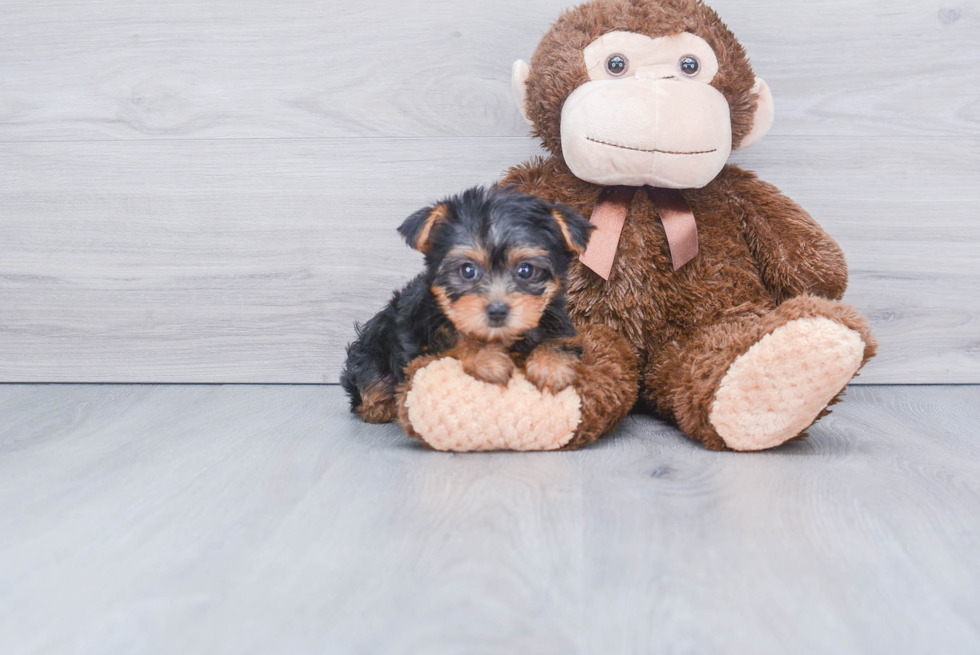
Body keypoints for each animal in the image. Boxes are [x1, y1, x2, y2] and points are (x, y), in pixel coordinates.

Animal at [340, 186, 592, 426]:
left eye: (526, 270)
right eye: (468, 270)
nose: (497, 311)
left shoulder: (560, 326)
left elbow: (559, 342)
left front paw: (551, 366)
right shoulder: (421, 336)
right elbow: (457, 342)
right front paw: (486, 358)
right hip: (371, 350)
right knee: (367, 382)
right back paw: (381, 407)